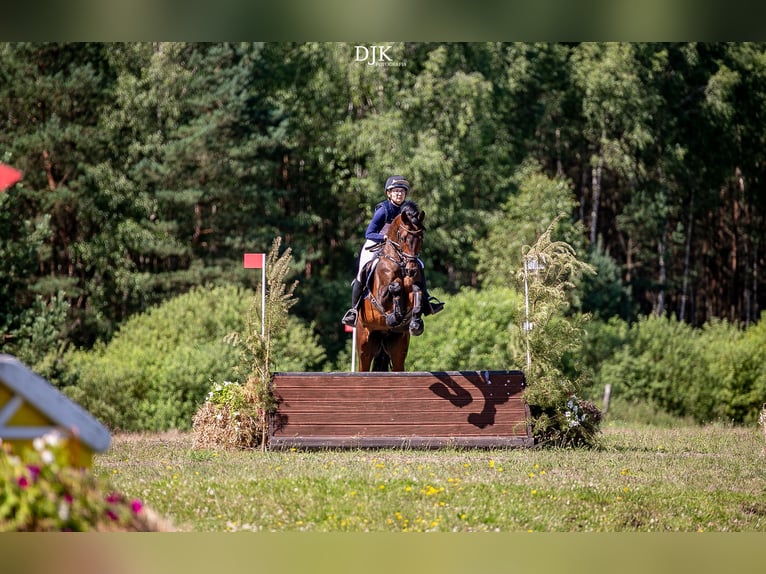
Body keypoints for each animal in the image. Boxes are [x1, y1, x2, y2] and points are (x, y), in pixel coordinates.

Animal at [356, 201, 428, 374]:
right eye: (403, 237)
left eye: (421, 237)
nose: (411, 270)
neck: (400, 263)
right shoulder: (380, 295)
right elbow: (394, 287)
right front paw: (394, 316)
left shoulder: (414, 289)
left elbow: (417, 291)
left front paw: (416, 324)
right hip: (364, 343)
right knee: (363, 365)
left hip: (398, 347)